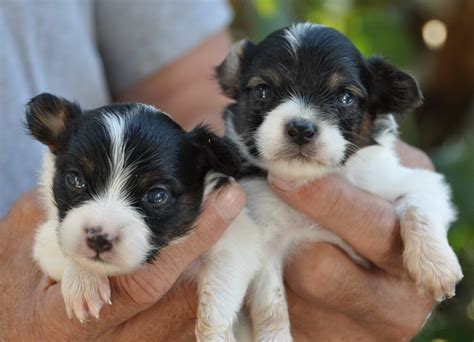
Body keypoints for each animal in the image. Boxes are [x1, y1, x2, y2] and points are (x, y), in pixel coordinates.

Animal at [191, 23, 462, 340]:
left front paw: (435, 266)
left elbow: (419, 206)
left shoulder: (418, 181)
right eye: (262, 91)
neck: (308, 177)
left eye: (345, 97)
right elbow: (271, 305)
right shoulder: (263, 239)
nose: (300, 128)